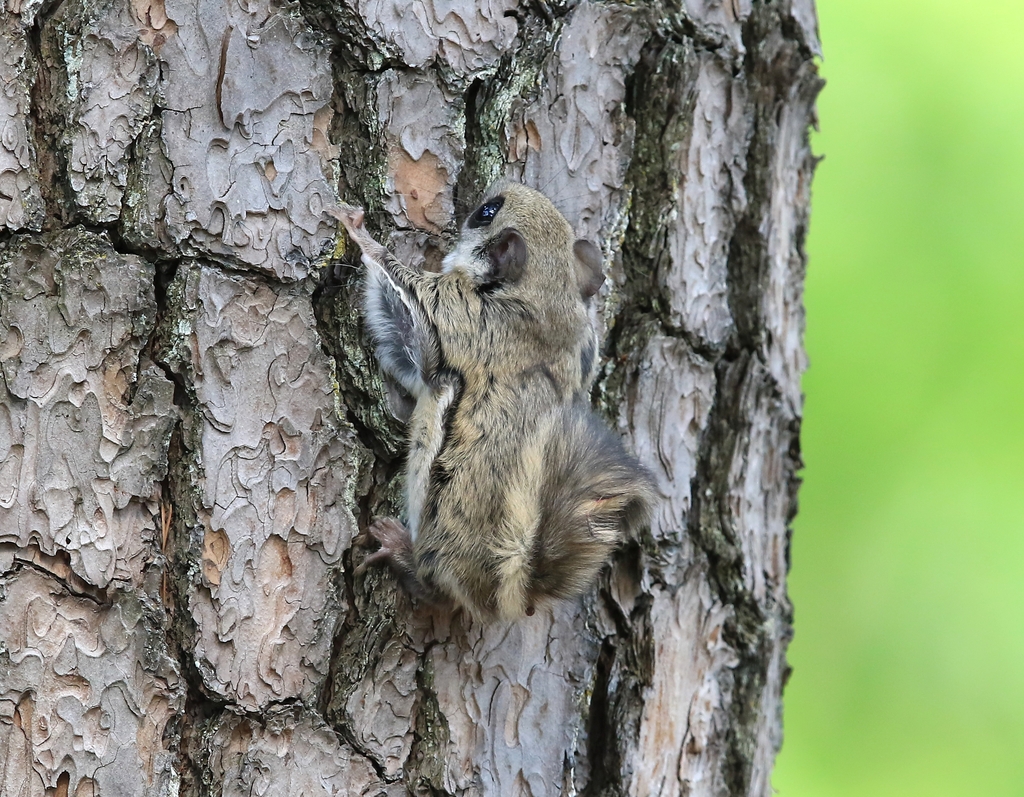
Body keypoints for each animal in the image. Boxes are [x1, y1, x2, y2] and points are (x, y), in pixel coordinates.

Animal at [331, 180, 659, 622]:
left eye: (487, 212)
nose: (500, 185)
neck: (545, 301)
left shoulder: (450, 313)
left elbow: (398, 290)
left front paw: (356, 227)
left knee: (436, 589)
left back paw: (400, 551)